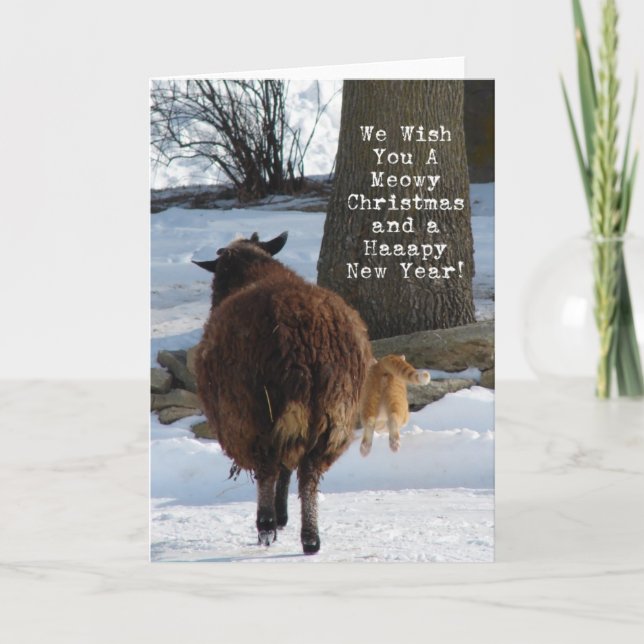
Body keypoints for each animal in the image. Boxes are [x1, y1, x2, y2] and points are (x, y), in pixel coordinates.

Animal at [192, 231, 373, 554]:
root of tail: (306, 341)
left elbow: (276, 469)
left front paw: (274, 519)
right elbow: (288, 468)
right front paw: (283, 514)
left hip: (258, 411)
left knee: (267, 468)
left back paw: (265, 526)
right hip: (332, 411)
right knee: (309, 473)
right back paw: (310, 537)